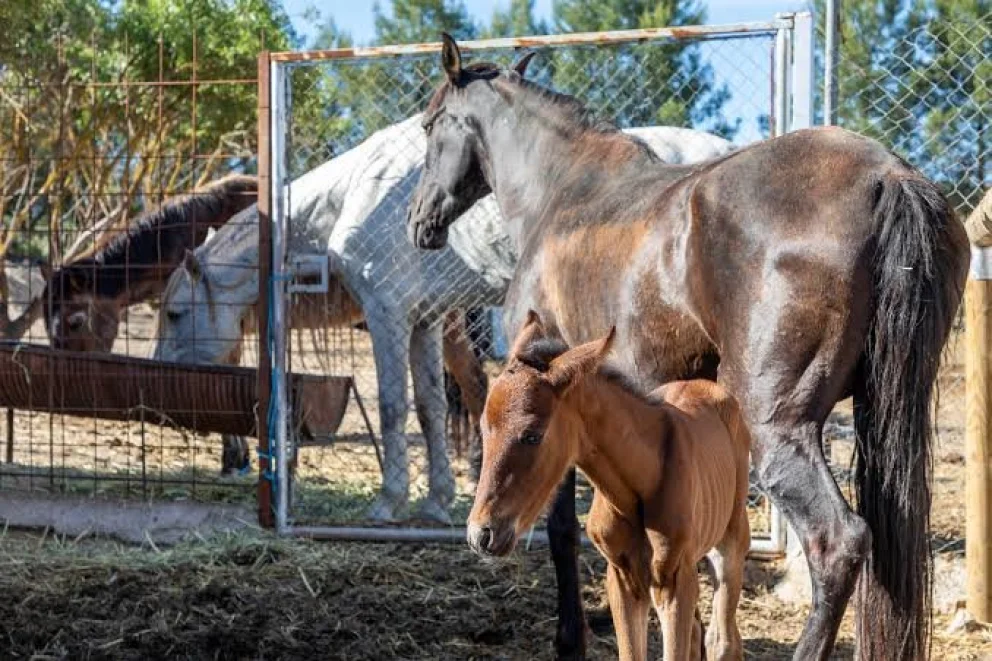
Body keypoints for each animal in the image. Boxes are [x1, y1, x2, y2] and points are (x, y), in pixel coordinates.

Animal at [154, 113, 735, 524]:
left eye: (175, 313)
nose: (164, 400)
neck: (356, 193)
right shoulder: (425, 322)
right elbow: (430, 408)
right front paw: (435, 500)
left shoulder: (387, 314)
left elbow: (393, 407)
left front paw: (389, 502)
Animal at [468, 311, 750, 661]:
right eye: (484, 428)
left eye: (532, 435)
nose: (481, 534)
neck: (638, 483)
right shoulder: (621, 577)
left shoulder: (674, 581)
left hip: (731, 541)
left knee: (723, 639)